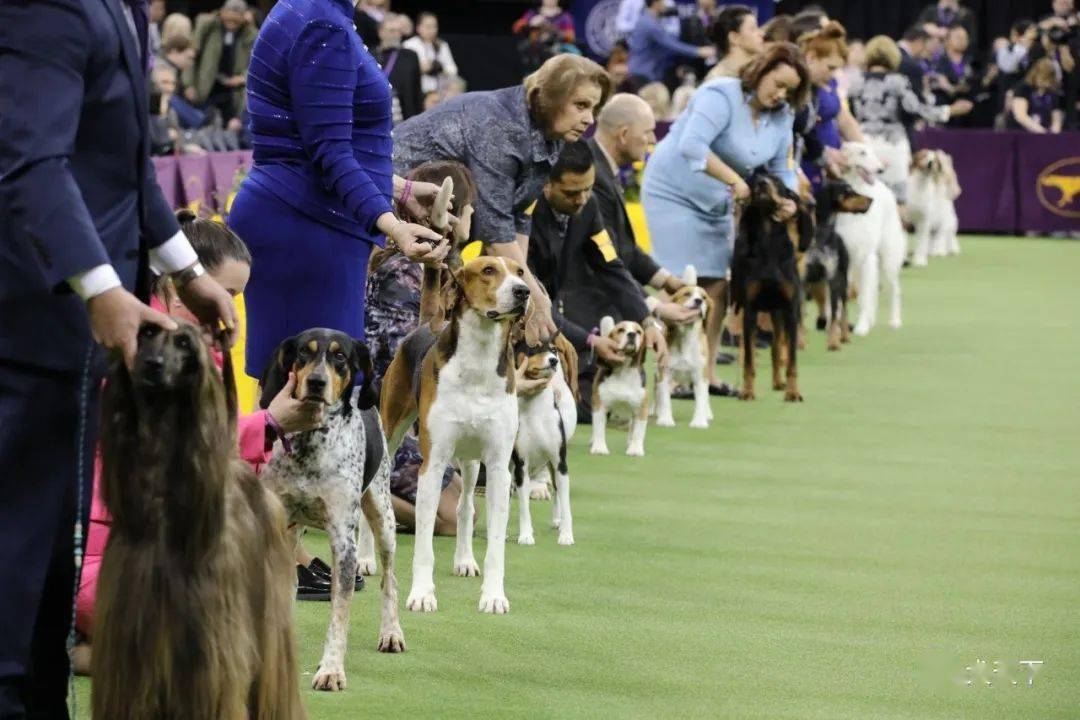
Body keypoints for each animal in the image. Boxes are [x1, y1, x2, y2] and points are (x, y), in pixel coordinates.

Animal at [380, 253, 531, 613]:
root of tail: (425, 325)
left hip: (471, 460)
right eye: (488, 270)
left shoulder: (498, 467)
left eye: (520, 271)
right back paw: (365, 559)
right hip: (390, 437)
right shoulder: (432, 466)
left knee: (465, 507)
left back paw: (464, 560)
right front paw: (422, 594)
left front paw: (494, 596)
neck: (478, 359)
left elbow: (495, 545)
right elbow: (423, 543)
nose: (523, 292)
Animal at [591, 319, 648, 459]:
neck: (624, 369)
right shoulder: (600, 406)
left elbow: (638, 432)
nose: (632, 334)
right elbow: (599, 429)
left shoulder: (641, 409)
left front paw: (635, 449)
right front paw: (599, 448)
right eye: (621, 330)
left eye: (639, 331)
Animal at [652, 267, 712, 431]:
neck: (687, 336)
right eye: (687, 294)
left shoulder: (700, 376)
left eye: (704, 297)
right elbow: (665, 399)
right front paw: (665, 419)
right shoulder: (665, 372)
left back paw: (708, 413)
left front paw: (699, 421)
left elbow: (701, 399)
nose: (698, 301)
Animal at [833, 142, 902, 336]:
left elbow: (864, 297)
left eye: (873, 152)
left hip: (887, 259)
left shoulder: (866, 256)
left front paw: (861, 327)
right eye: (862, 153)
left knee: (894, 289)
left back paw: (894, 321)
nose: (880, 169)